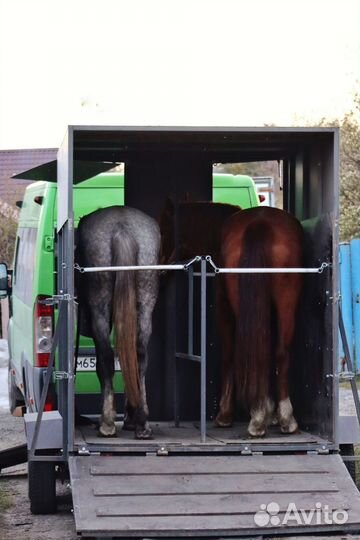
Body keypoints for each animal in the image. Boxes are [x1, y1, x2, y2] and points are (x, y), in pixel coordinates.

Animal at [76, 207, 160, 438]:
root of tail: (122, 229)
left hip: (100, 307)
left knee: (105, 357)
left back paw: (106, 423)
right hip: (145, 303)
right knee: (139, 355)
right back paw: (141, 422)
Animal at [160, 200, 304, 436]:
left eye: (163, 229)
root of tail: (260, 224)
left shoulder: (223, 308)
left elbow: (228, 354)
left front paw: (225, 414)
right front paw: (271, 412)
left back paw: (258, 416)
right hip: (286, 302)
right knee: (280, 352)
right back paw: (282, 417)